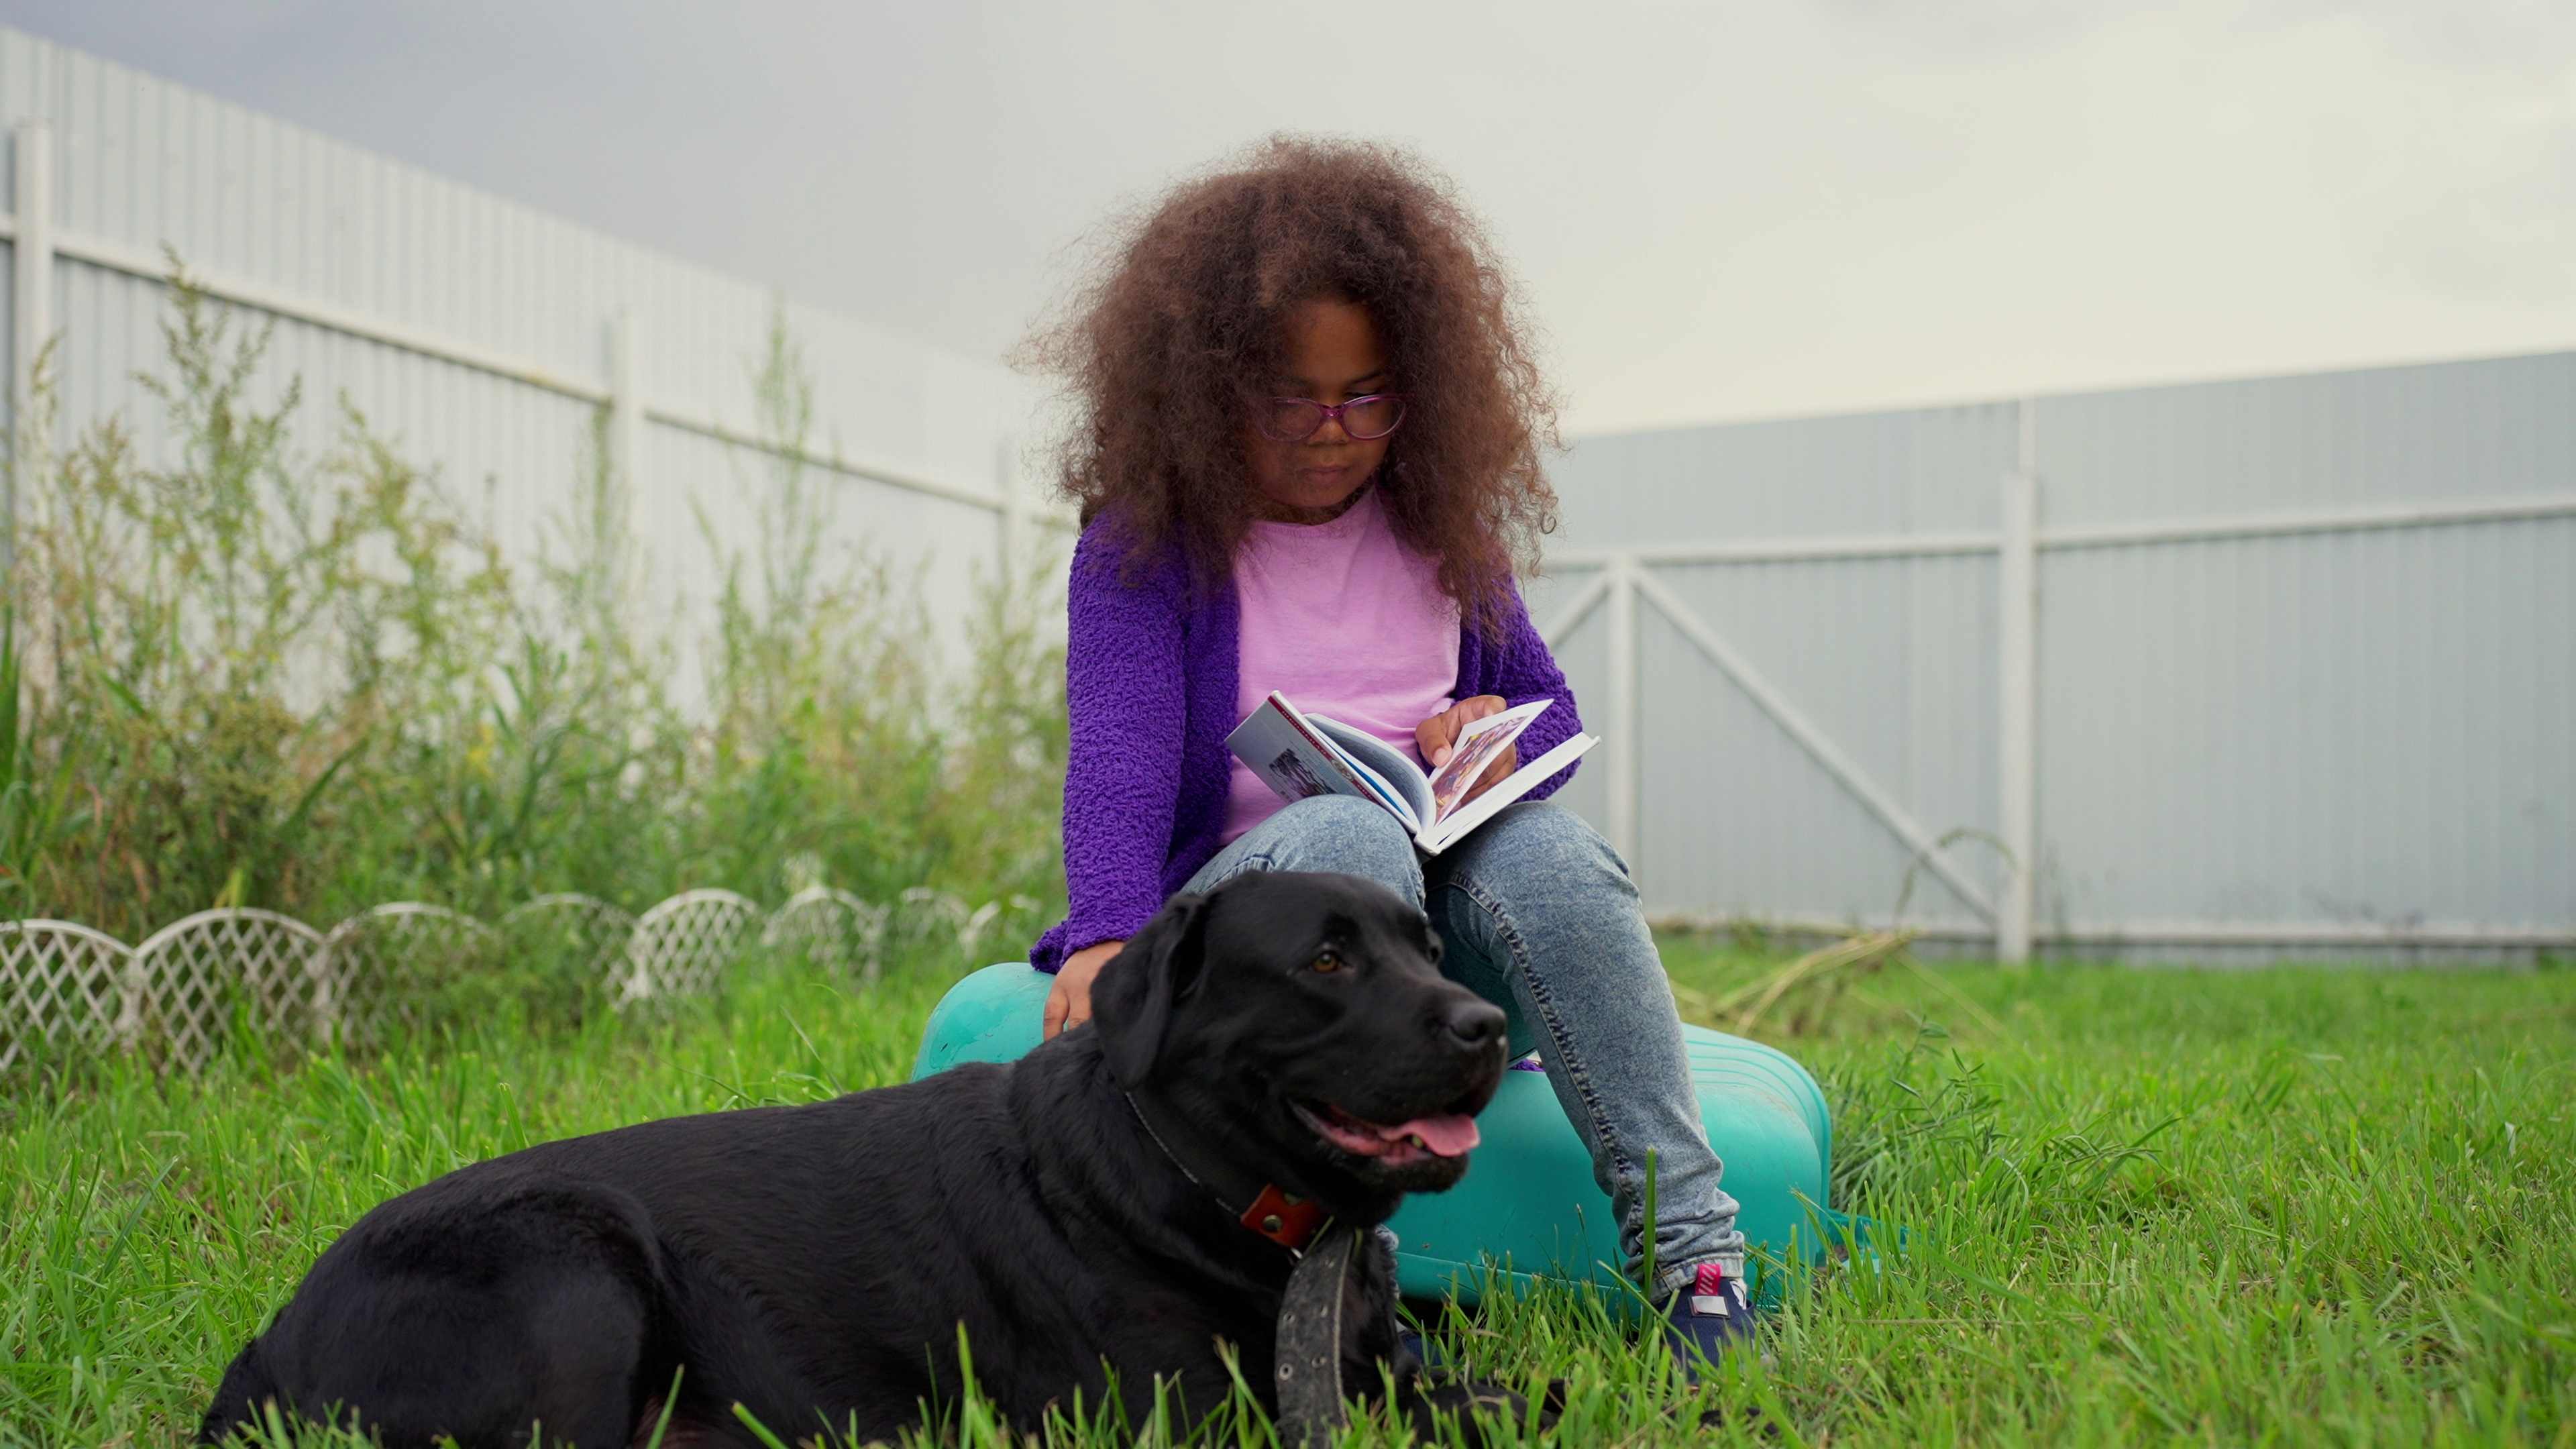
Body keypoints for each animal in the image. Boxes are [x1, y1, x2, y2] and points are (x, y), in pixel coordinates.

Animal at [206, 866, 1525, 1444]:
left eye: (1425, 947)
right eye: (1325, 961)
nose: (1487, 1027)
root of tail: (270, 1341)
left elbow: (1500, 1395)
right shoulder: (1184, 1421)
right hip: (572, 1266)